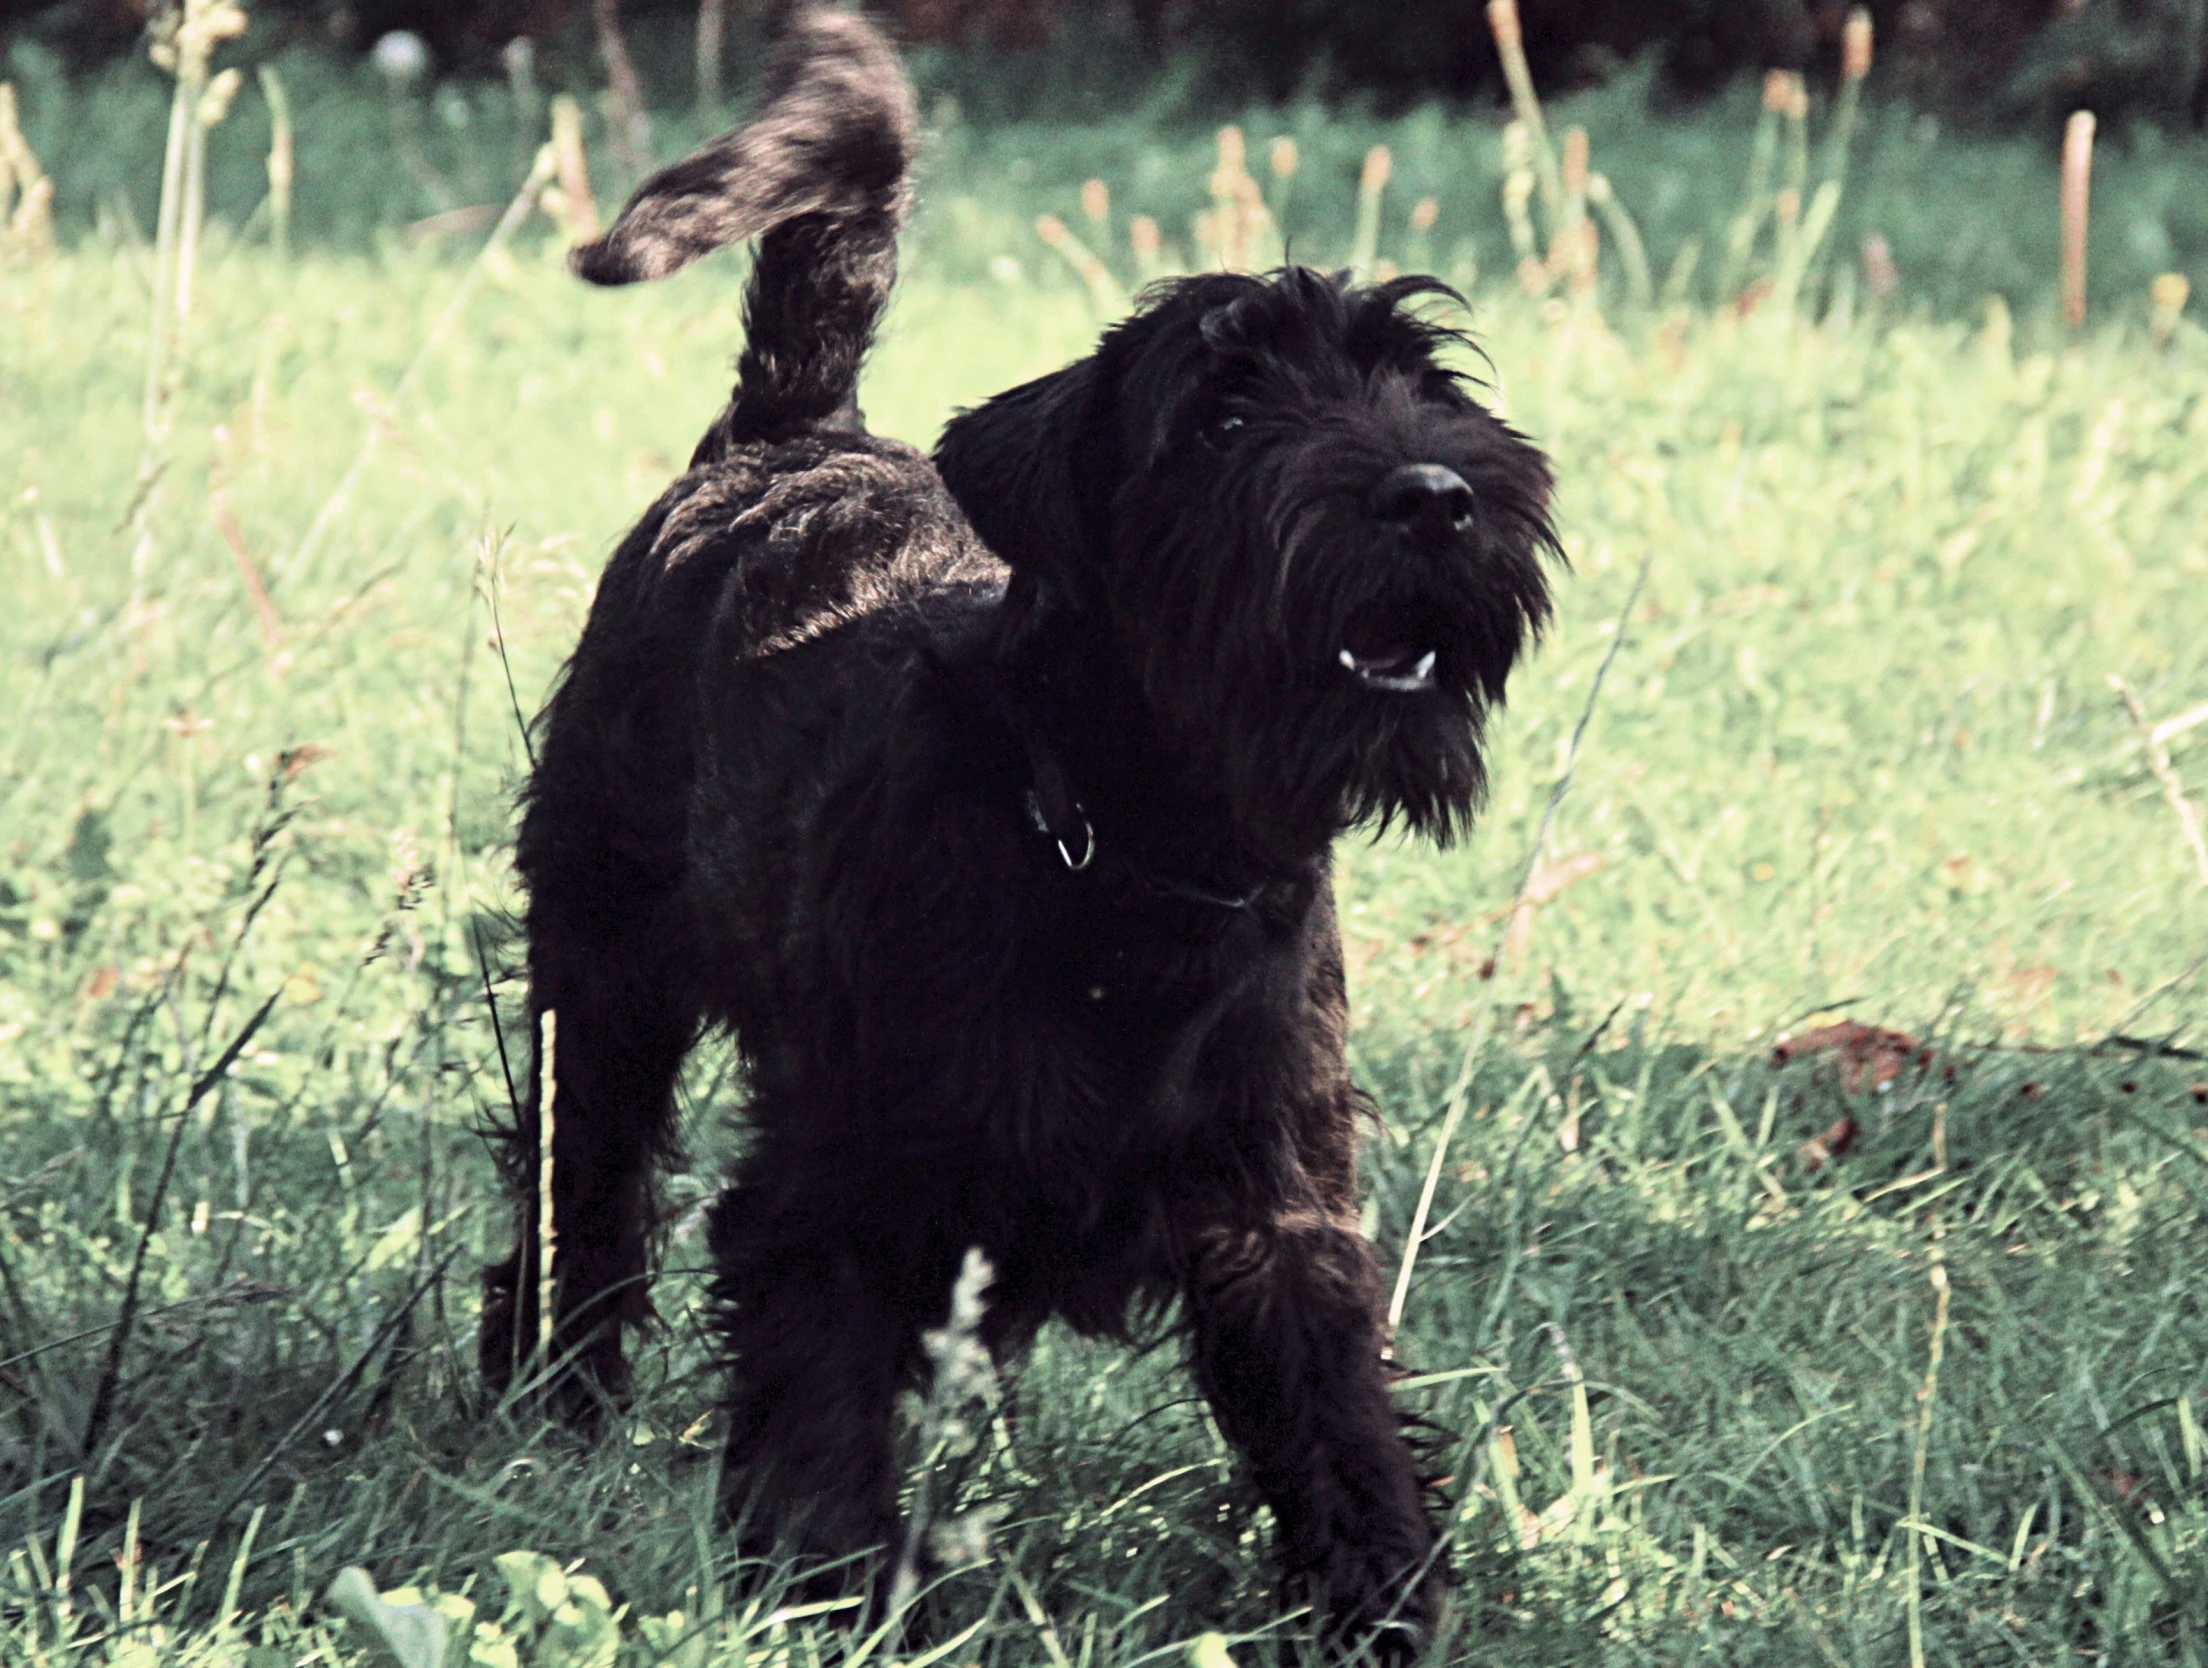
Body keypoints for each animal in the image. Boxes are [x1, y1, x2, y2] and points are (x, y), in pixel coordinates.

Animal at [483, 6, 1554, 1661]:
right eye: (1224, 414)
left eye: (1432, 386)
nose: (1434, 496)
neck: (1130, 861)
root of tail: (785, 440)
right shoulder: (838, 1190)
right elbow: (821, 1418)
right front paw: (828, 1599)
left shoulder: (1279, 1203)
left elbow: (1337, 1423)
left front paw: (1387, 1606)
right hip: (602, 978)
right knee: (582, 1198)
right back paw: (562, 1407)